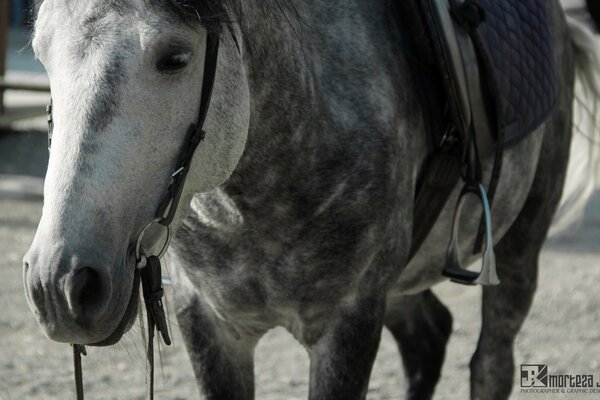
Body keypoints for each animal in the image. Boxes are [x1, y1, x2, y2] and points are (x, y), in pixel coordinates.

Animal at [21, 0, 596, 400]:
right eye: (42, 56)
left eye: (175, 57)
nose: (60, 285)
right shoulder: (209, 325)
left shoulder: (347, 325)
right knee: (428, 340)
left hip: (519, 250)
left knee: (489, 362)